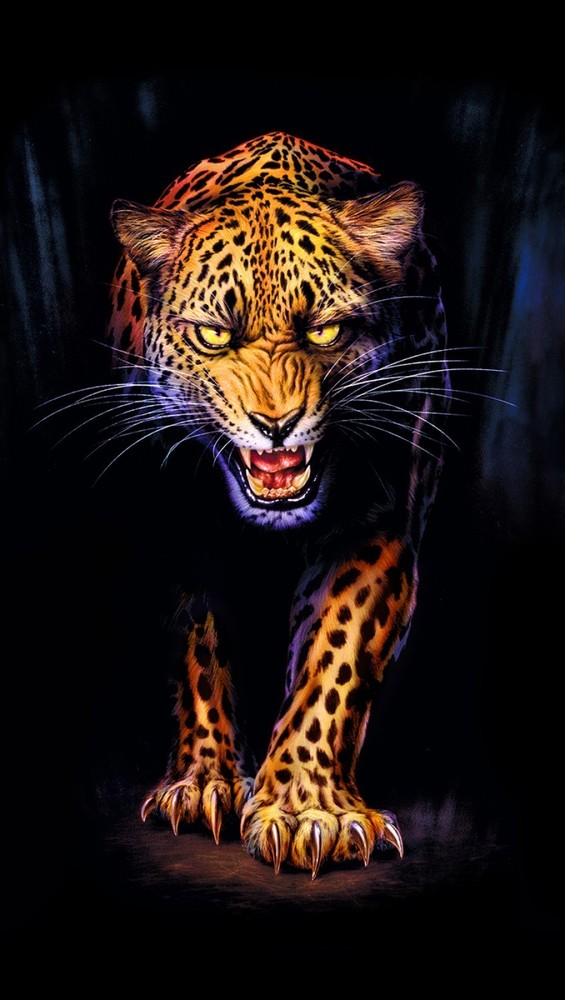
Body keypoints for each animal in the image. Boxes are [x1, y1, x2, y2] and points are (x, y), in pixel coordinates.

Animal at [106, 131, 449, 878]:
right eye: (214, 335)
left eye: (324, 333)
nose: (276, 423)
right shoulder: (181, 528)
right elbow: (199, 651)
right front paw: (202, 783)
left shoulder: (380, 524)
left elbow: (335, 655)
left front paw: (307, 809)